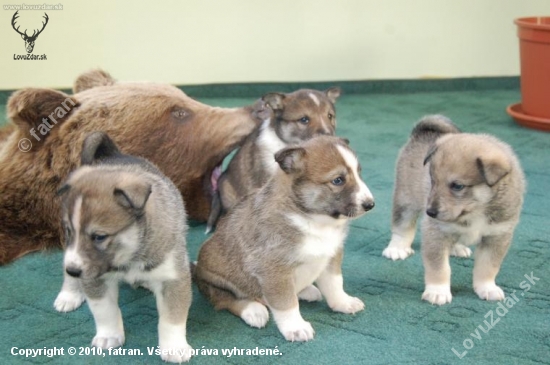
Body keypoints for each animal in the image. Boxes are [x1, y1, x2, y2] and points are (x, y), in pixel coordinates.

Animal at [54, 132, 195, 362]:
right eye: (69, 231)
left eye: (99, 236)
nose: (74, 270)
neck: (129, 257)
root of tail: (113, 154)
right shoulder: (94, 278)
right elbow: (105, 310)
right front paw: (109, 336)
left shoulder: (172, 277)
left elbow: (171, 318)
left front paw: (174, 347)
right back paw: (69, 294)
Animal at [193, 134, 376, 342]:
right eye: (338, 180)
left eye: (359, 173)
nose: (370, 204)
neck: (314, 221)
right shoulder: (274, 270)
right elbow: (286, 303)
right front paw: (296, 328)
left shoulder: (331, 256)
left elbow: (335, 283)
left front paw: (343, 302)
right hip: (215, 281)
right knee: (225, 299)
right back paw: (254, 311)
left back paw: (307, 290)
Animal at [384, 116, 532, 304]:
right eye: (432, 180)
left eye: (457, 186)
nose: (430, 213)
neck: (476, 210)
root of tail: (421, 132)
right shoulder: (436, 233)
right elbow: (439, 268)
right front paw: (438, 291)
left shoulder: (496, 236)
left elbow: (488, 267)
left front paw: (487, 288)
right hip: (405, 199)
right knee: (402, 227)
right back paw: (397, 249)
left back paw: (457, 248)